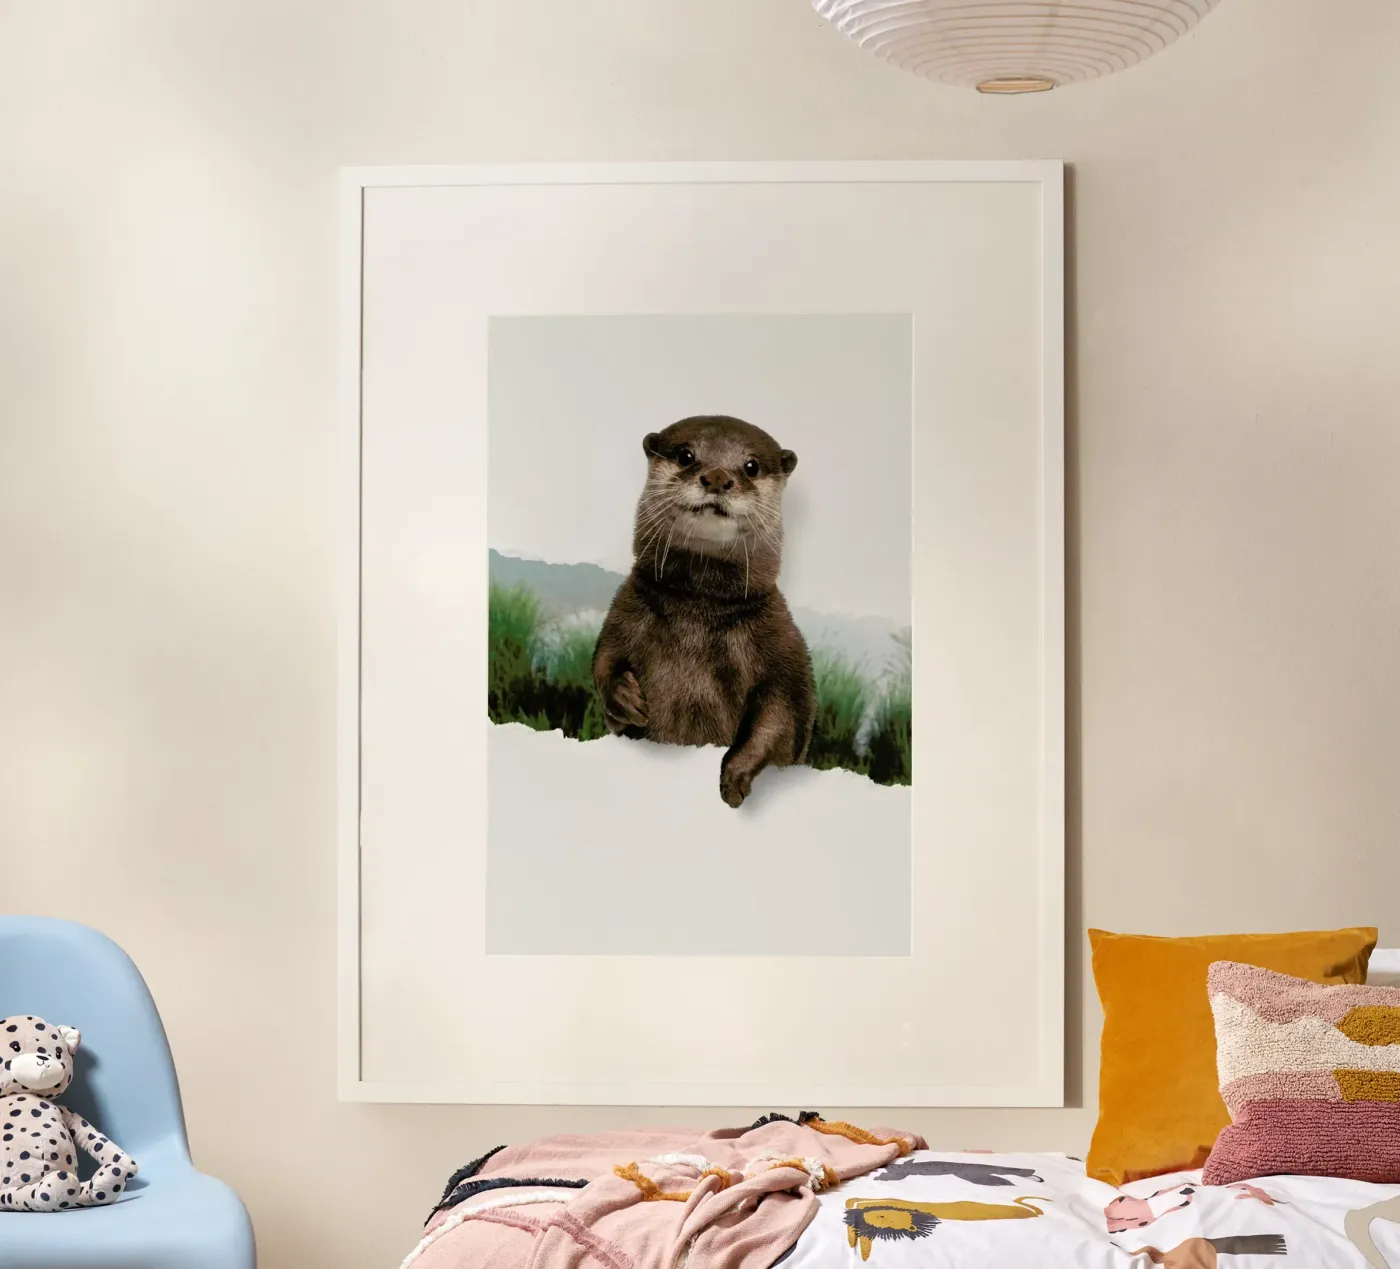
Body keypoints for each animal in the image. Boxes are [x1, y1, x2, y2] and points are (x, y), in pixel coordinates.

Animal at [591, 415, 816, 808]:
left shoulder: (781, 643)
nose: (716, 477)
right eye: (686, 455)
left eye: (751, 466)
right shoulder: (624, 612)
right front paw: (624, 698)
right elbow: (603, 661)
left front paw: (735, 775)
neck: (698, 614)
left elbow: (781, 714)